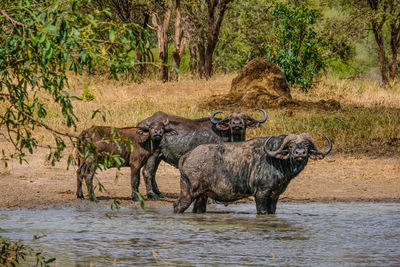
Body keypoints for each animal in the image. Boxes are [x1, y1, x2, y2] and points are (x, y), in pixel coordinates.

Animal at [136, 108, 268, 199]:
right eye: (230, 119)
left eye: (244, 118)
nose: (237, 124)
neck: (227, 135)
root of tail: (141, 125)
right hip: (153, 154)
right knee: (147, 172)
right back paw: (152, 195)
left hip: (159, 156)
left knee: (153, 173)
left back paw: (159, 193)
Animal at [174, 134, 332, 216]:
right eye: (291, 146)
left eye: (307, 145)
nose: (300, 153)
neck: (277, 160)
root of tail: (188, 155)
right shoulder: (261, 193)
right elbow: (262, 211)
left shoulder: (275, 195)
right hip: (188, 193)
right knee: (177, 206)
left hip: (202, 196)